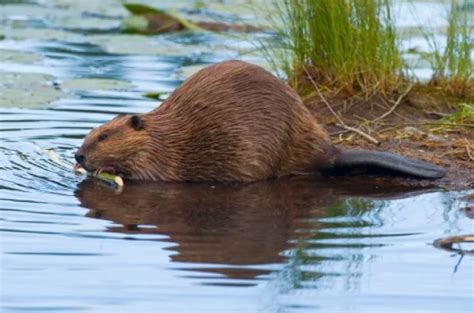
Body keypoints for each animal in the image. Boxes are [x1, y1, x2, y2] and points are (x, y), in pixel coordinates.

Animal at [74, 59, 444, 180]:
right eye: (91, 132)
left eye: (104, 136)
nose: (78, 154)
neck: (161, 134)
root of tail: (332, 153)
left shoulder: (161, 157)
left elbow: (148, 175)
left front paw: (103, 170)